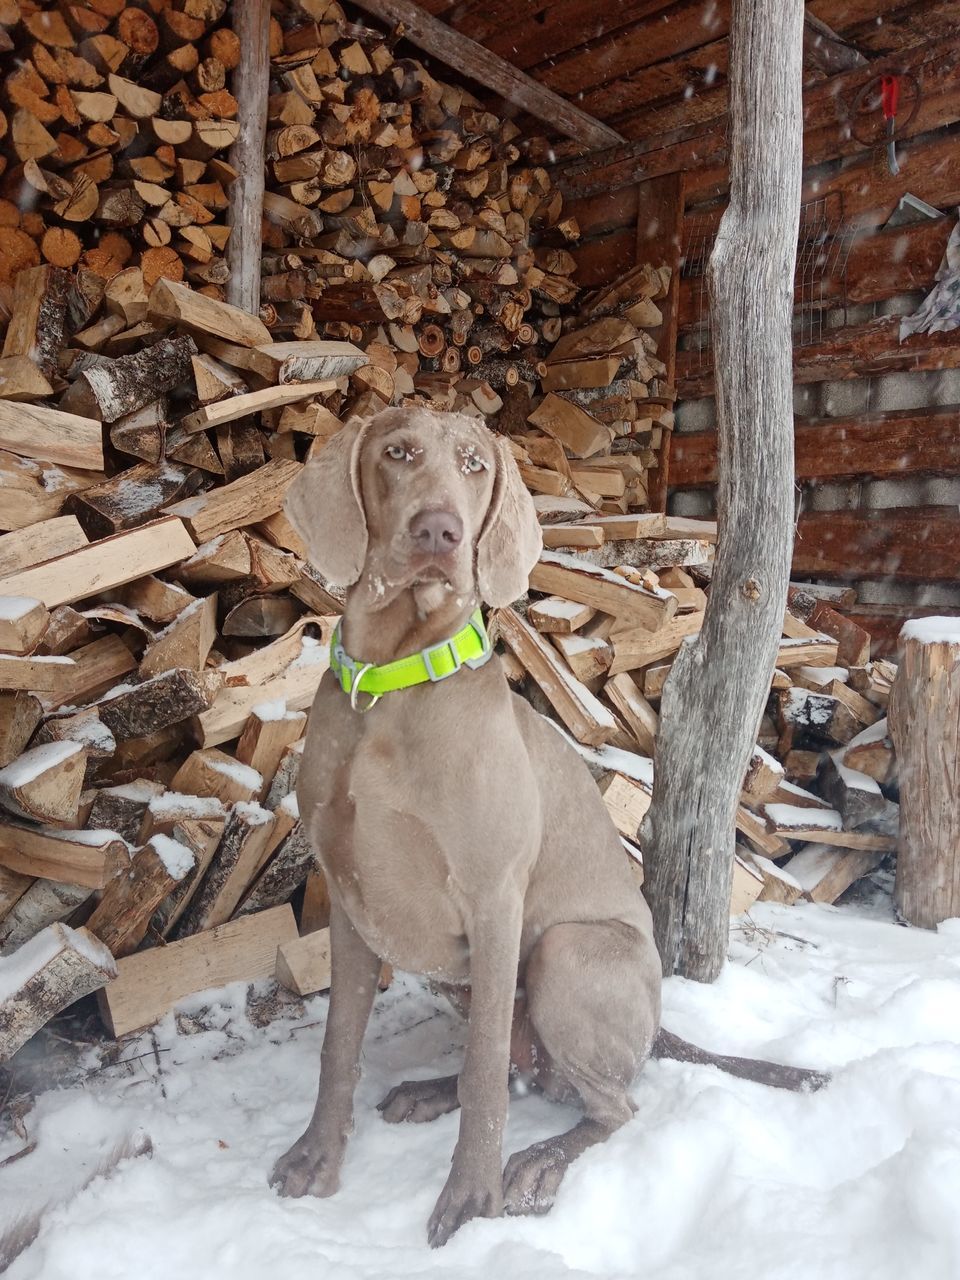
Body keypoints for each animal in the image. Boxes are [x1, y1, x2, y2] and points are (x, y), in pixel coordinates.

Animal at [272, 404, 829, 1244]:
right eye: (398, 452)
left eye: (475, 464)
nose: (439, 531)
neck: (394, 682)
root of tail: (657, 1025)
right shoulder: (349, 900)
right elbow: (340, 1045)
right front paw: (316, 1158)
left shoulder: (494, 899)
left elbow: (483, 1072)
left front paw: (470, 1197)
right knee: (516, 1065)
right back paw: (428, 1093)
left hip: (565, 953)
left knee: (608, 1103)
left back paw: (536, 1164)